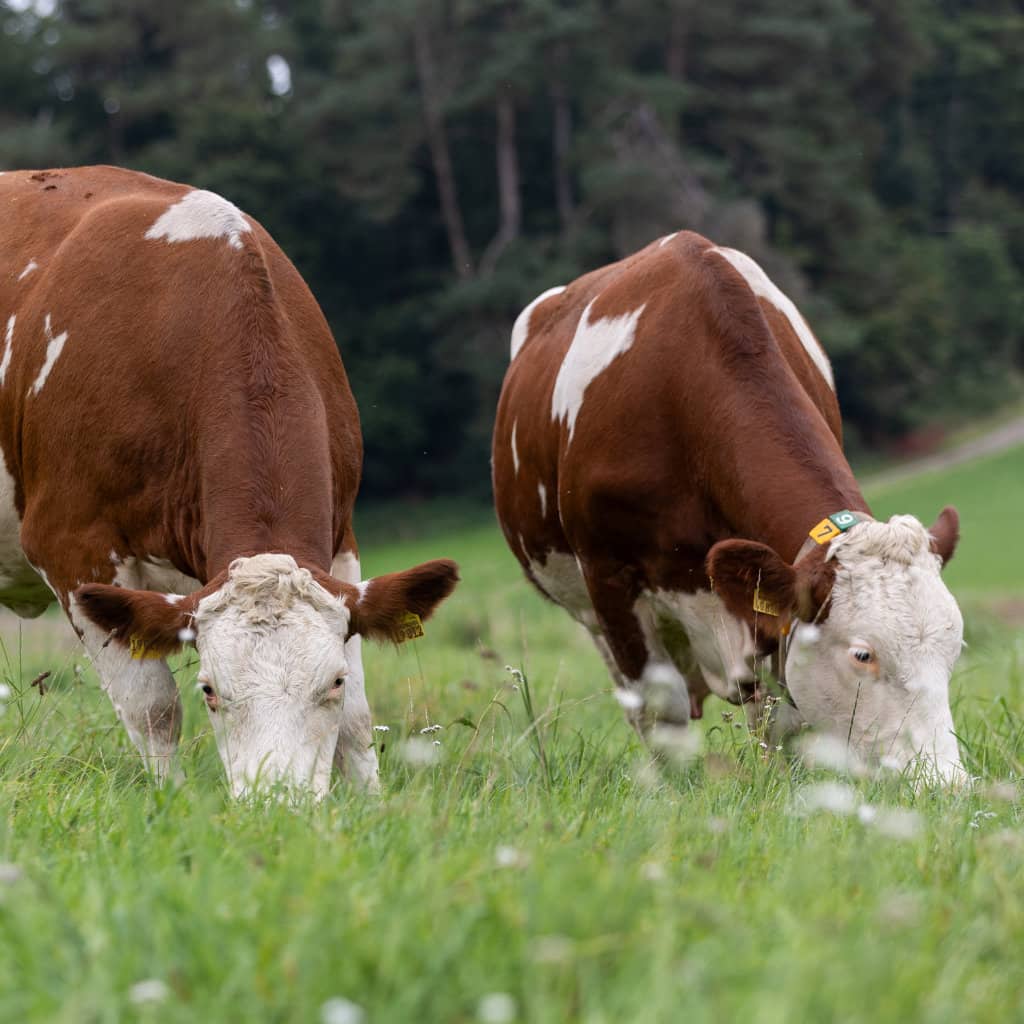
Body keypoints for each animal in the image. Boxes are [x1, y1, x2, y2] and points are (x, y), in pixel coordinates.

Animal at [0, 165, 459, 797]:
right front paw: (169, 803)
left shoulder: (341, 538)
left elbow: (359, 717)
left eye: (333, 682)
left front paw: (372, 804)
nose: (278, 803)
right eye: (211, 690)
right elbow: (153, 707)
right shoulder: (70, 546)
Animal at [493, 231, 965, 784]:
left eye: (954, 649)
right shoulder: (607, 574)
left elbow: (778, 714)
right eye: (862, 654)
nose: (946, 783)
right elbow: (662, 710)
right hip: (587, 609)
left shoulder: (763, 605)